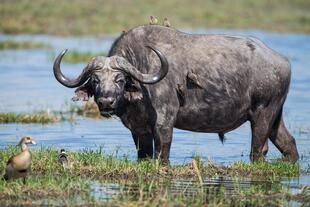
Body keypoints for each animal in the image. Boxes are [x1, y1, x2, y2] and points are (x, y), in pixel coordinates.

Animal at [53, 24, 298, 163]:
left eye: (120, 80)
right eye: (95, 81)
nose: (106, 102)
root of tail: (282, 62)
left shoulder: (164, 122)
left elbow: (163, 153)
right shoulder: (138, 130)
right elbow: (144, 155)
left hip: (262, 113)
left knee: (259, 149)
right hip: (275, 116)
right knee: (289, 144)